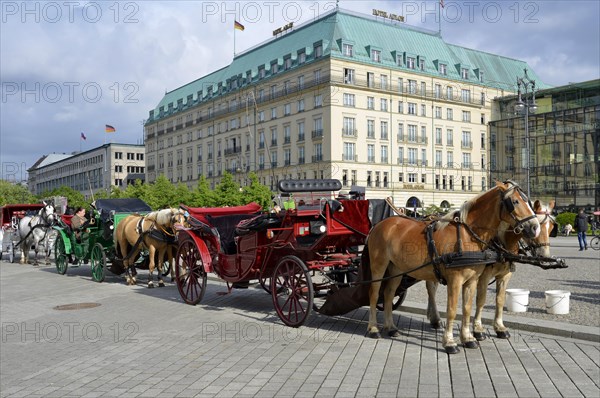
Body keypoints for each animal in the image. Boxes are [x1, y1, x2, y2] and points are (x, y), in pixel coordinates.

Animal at [366, 182, 540, 352]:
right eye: (515, 202)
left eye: (528, 201)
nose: (535, 227)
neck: (467, 234)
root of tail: (380, 224)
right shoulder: (455, 280)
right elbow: (452, 310)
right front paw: (450, 342)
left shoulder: (472, 280)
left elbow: (467, 308)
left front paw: (468, 338)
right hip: (378, 266)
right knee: (374, 295)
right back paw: (373, 328)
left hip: (397, 269)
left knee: (388, 295)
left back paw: (391, 327)